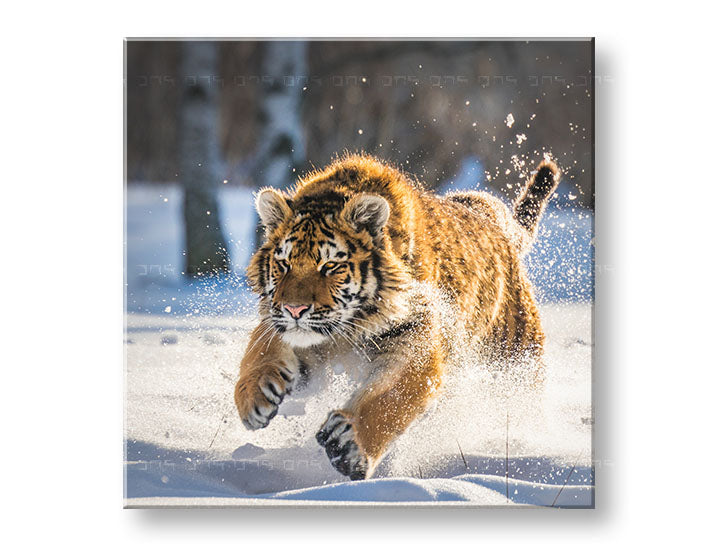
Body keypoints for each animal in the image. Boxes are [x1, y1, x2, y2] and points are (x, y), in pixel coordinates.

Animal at [234, 153, 560, 480]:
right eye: (283, 263)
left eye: (329, 266)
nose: (294, 309)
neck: (347, 329)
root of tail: (496, 223)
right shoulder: (290, 329)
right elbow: (260, 350)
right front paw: (253, 397)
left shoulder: (415, 342)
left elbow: (390, 398)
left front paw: (348, 445)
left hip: (515, 363)